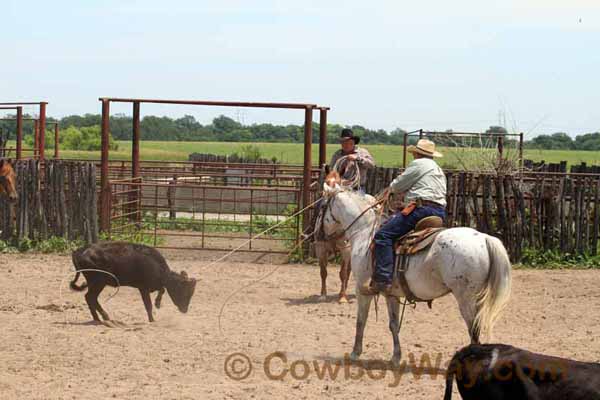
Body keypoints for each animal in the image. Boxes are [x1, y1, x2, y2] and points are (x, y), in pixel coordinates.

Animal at [322, 173, 512, 368]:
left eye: (322, 206)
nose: (322, 235)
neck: (365, 232)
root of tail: (484, 238)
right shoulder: (391, 294)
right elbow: (393, 324)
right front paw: (396, 357)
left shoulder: (362, 290)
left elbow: (361, 321)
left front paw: (355, 353)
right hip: (478, 298)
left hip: (466, 298)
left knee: (473, 331)